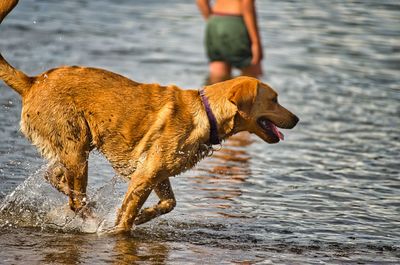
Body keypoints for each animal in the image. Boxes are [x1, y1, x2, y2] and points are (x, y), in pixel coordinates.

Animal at [0, 0, 296, 232]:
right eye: (274, 99)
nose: (297, 119)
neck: (207, 114)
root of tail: (32, 82)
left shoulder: (157, 173)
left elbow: (168, 203)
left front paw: (144, 216)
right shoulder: (144, 175)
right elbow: (126, 217)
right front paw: (120, 227)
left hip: (76, 147)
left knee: (56, 179)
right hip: (76, 148)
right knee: (75, 200)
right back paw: (90, 219)